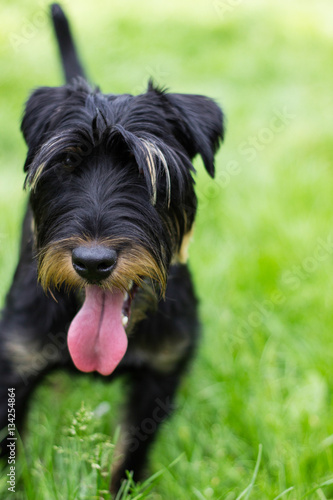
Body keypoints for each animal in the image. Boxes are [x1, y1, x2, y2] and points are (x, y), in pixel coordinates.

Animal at [0, 3, 224, 494]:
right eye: (67, 162)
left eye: (146, 171)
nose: (93, 262)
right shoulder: (15, 365)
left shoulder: (160, 375)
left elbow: (131, 455)